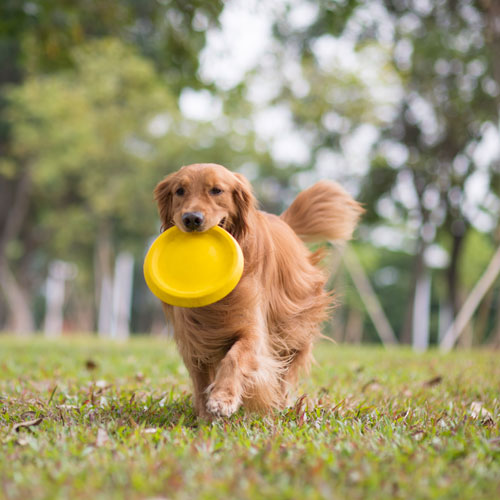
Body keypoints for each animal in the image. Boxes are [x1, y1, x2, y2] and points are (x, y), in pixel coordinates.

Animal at [153, 164, 364, 418]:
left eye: (216, 190)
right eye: (180, 191)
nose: (192, 219)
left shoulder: (252, 328)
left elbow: (235, 358)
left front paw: (223, 399)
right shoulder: (192, 335)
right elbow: (200, 375)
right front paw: (204, 414)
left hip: (294, 325)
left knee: (286, 368)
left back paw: (280, 404)